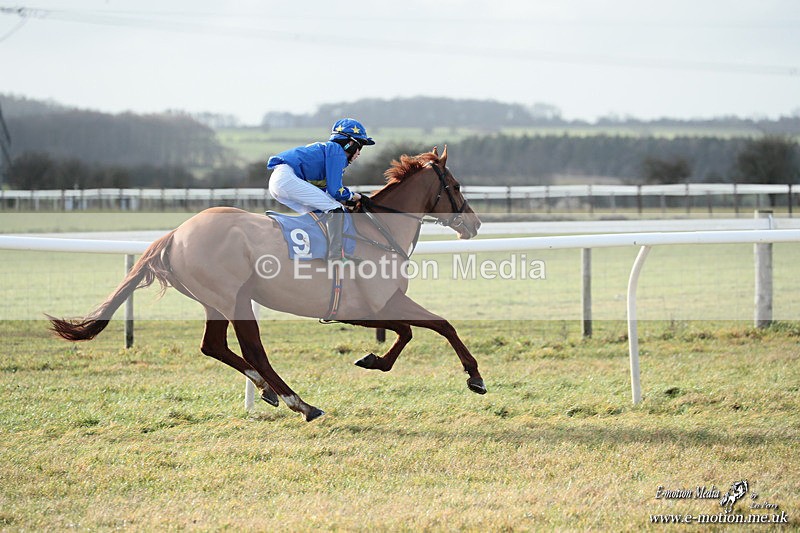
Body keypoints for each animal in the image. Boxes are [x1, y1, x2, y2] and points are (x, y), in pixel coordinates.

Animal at [48, 146, 486, 422]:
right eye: (456, 187)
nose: (476, 224)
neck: (379, 231)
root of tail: (174, 234)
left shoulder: (379, 306)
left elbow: (430, 326)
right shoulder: (370, 307)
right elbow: (424, 327)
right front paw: (471, 376)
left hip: (219, 301)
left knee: (214, 346)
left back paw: (269, 390)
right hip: (234, 299)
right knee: (253, 351)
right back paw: (300, 403)